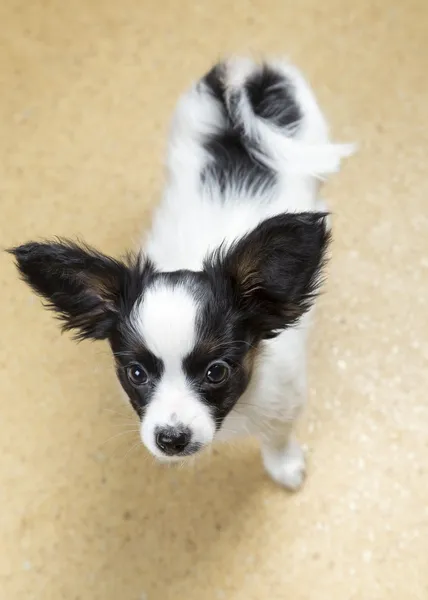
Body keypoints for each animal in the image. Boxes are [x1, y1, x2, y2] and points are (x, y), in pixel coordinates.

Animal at [10, 59, 352, 492]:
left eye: (216, 371)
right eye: (136, 373)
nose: (171, 439)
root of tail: (242, 77)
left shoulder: (283, 400)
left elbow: (277, 436)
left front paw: (284, 468)